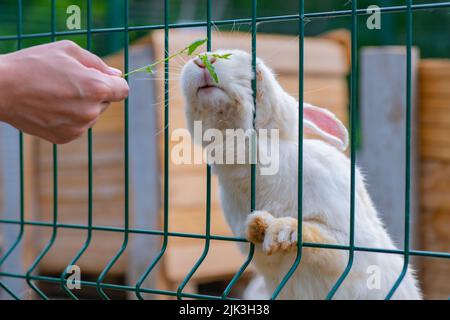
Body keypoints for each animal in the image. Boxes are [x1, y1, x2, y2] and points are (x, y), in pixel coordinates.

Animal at [179, 48, 422, 298]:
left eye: (258, 71)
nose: (203, 61)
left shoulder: (349, 238)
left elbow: (325, 240)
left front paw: (283, 230)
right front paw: (257, 224)